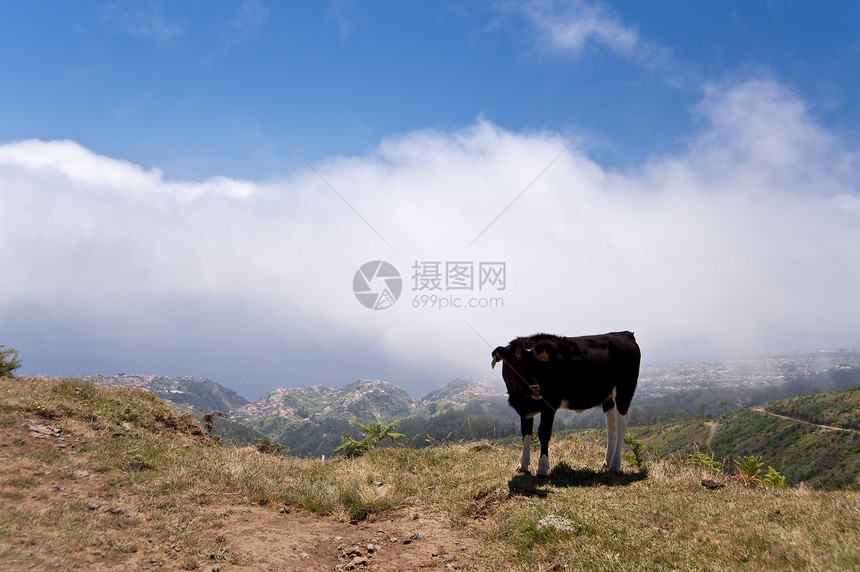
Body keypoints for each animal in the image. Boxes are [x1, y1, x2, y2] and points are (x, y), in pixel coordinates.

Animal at [490, 332, 640, 476]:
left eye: (537, 363)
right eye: (515, 361)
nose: (535, 389)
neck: (520, 398)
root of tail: (624, 334)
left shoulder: (549, 403)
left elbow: (543, 432)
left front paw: (542, 468)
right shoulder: (525, 408)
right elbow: (526, 432)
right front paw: (523, 465)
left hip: (625, 391)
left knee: (621, 424)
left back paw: (615, 465)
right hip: (608, 397)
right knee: (611, 425)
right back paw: (607, 462)